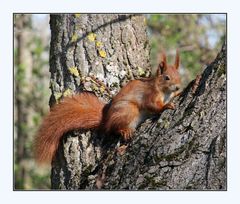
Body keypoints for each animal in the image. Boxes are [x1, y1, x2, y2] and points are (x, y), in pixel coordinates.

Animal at [35, 50, 180, 163]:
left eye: (179, 76)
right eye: (167, 77)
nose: (178, 87)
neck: (164, 91)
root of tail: (106, 120)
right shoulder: (150, 95)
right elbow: (152, 105)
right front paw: (165, 106)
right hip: (129, 110)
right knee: (114, 128)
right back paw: (124, 130)